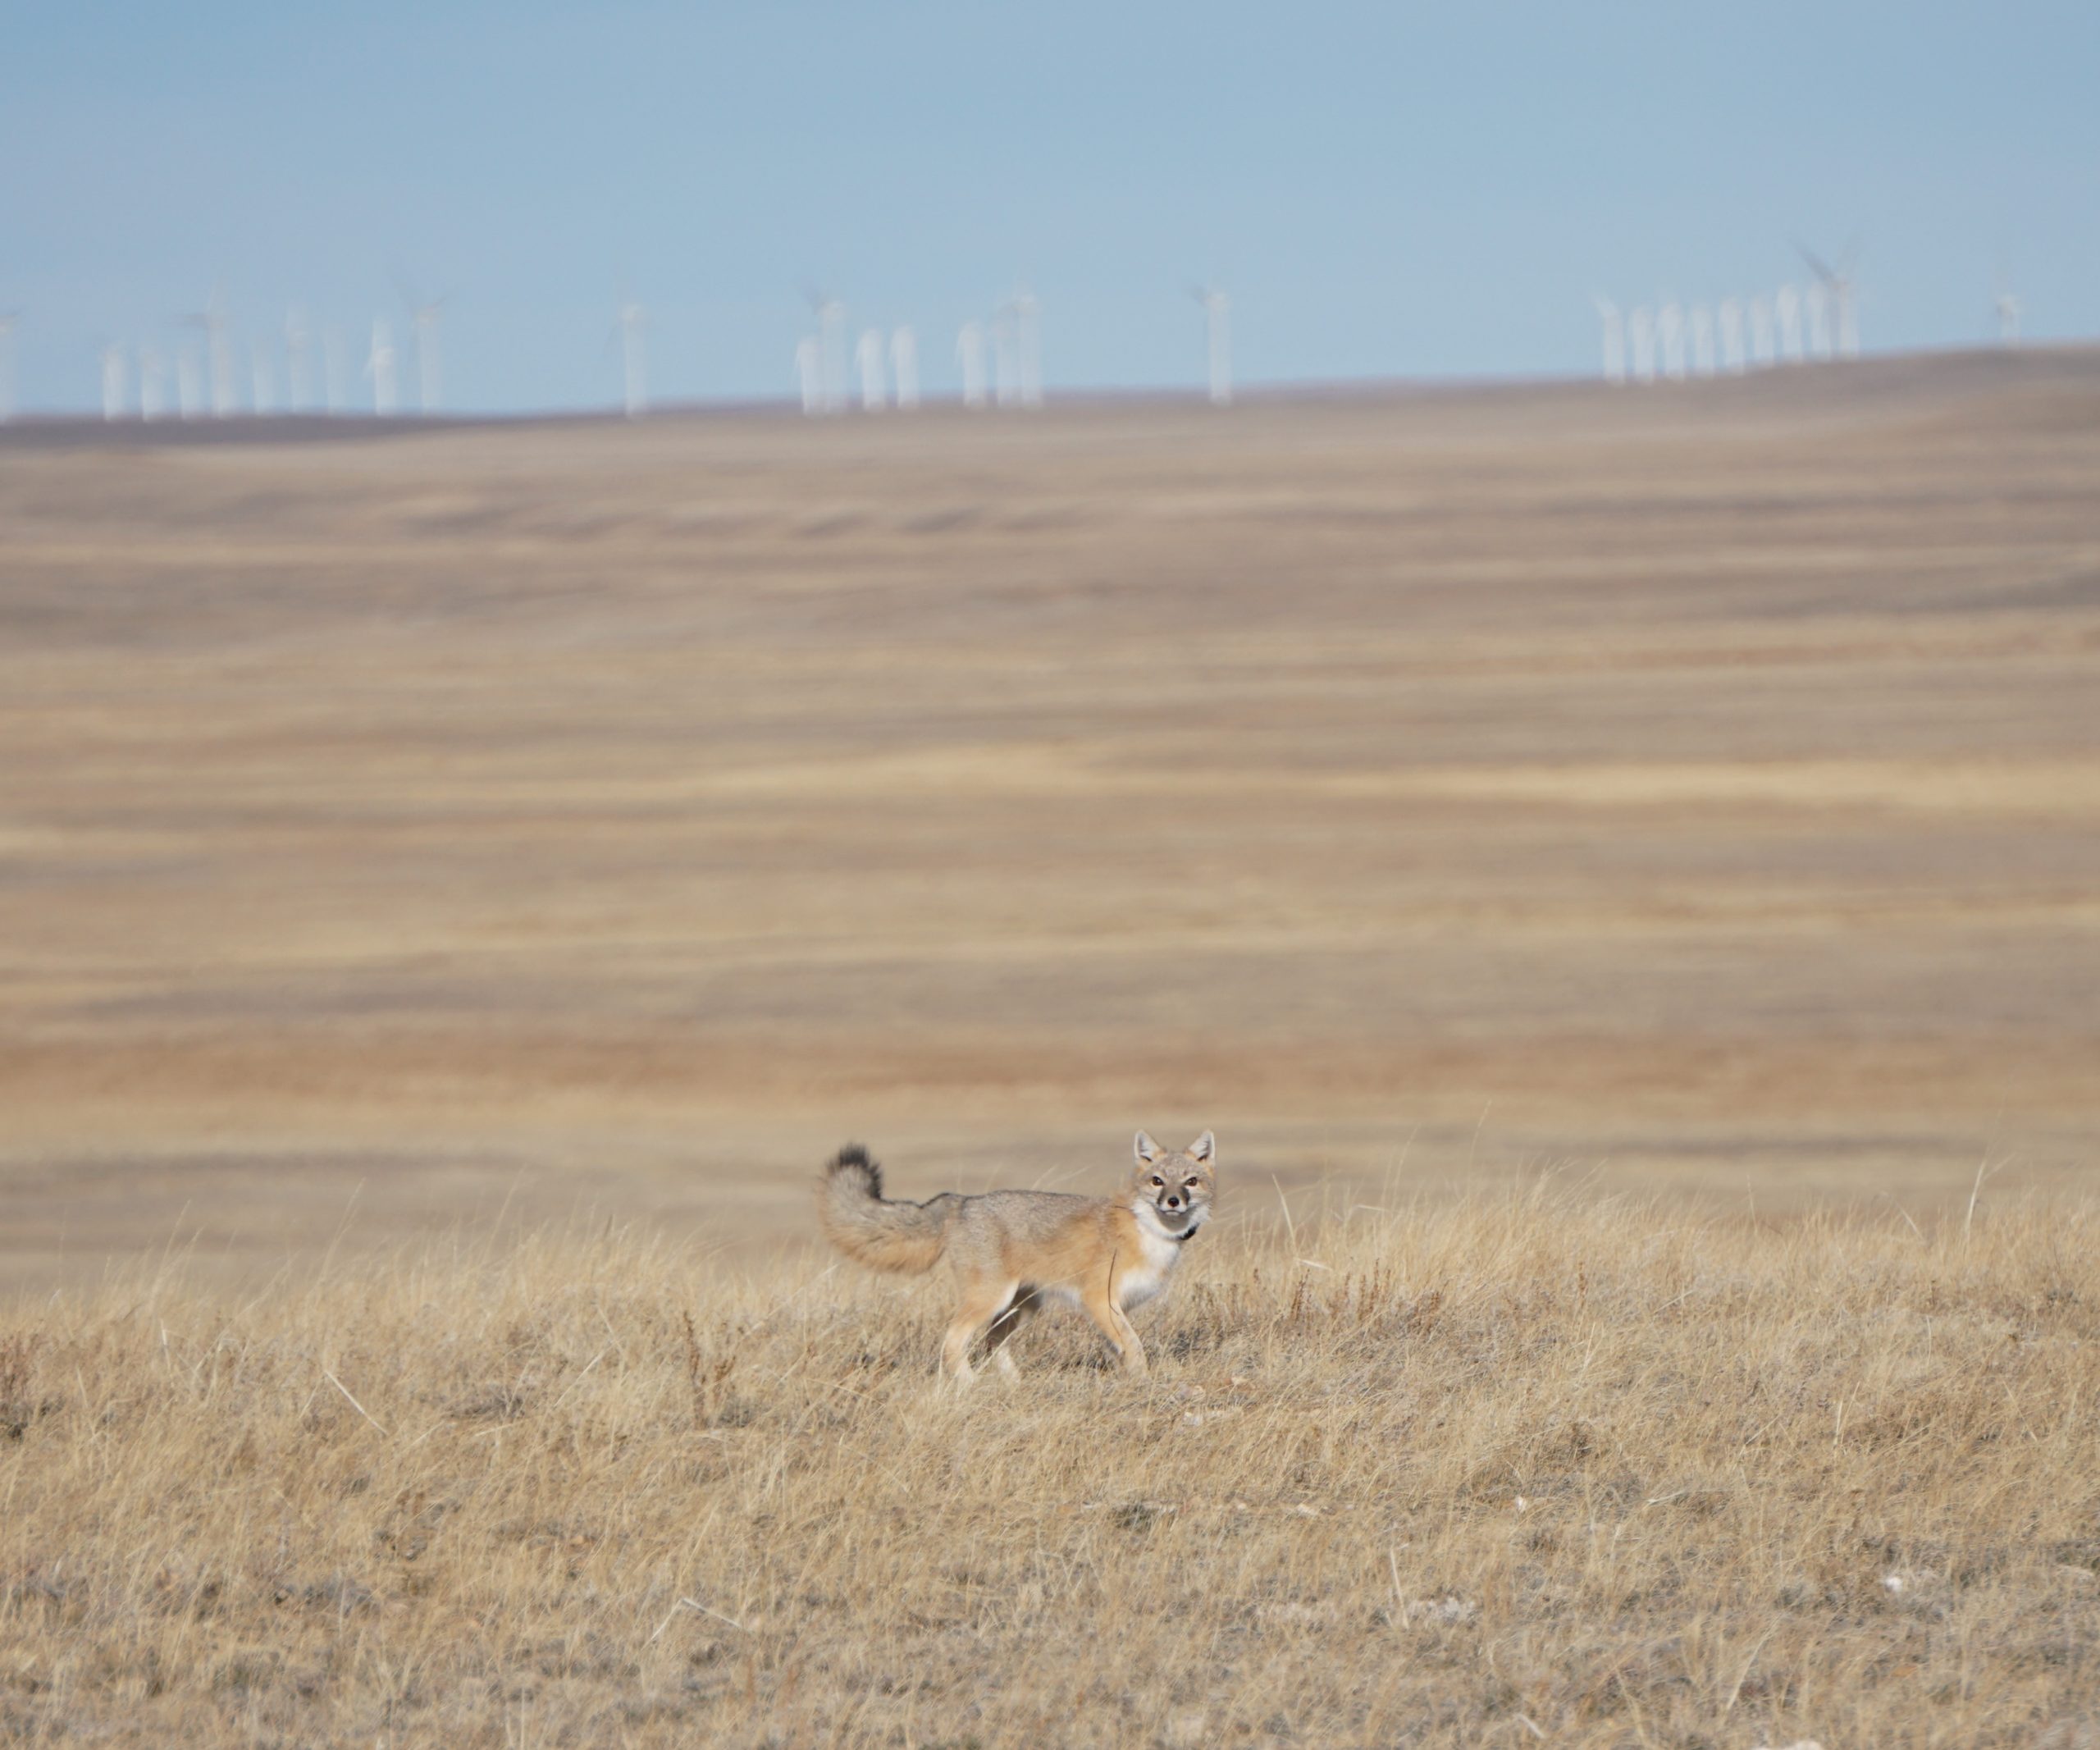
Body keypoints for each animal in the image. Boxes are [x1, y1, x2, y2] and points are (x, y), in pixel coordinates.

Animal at [815, 1134, 1217, 1378]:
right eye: (1157, 1181)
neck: (1150, 1233)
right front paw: (1145, 1380)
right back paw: (969, 1385)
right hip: (992, 1299)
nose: (1173, 1201)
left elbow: (1120, 1349)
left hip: (1021, 1307)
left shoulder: (1113, 1309)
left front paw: (1129, 1381)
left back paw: (1014, 1384)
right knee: (953, 1340)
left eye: (1191, 1181)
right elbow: (1134, 1347)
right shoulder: (1099, 1300)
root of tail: (962, 1201)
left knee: (992, 1343)